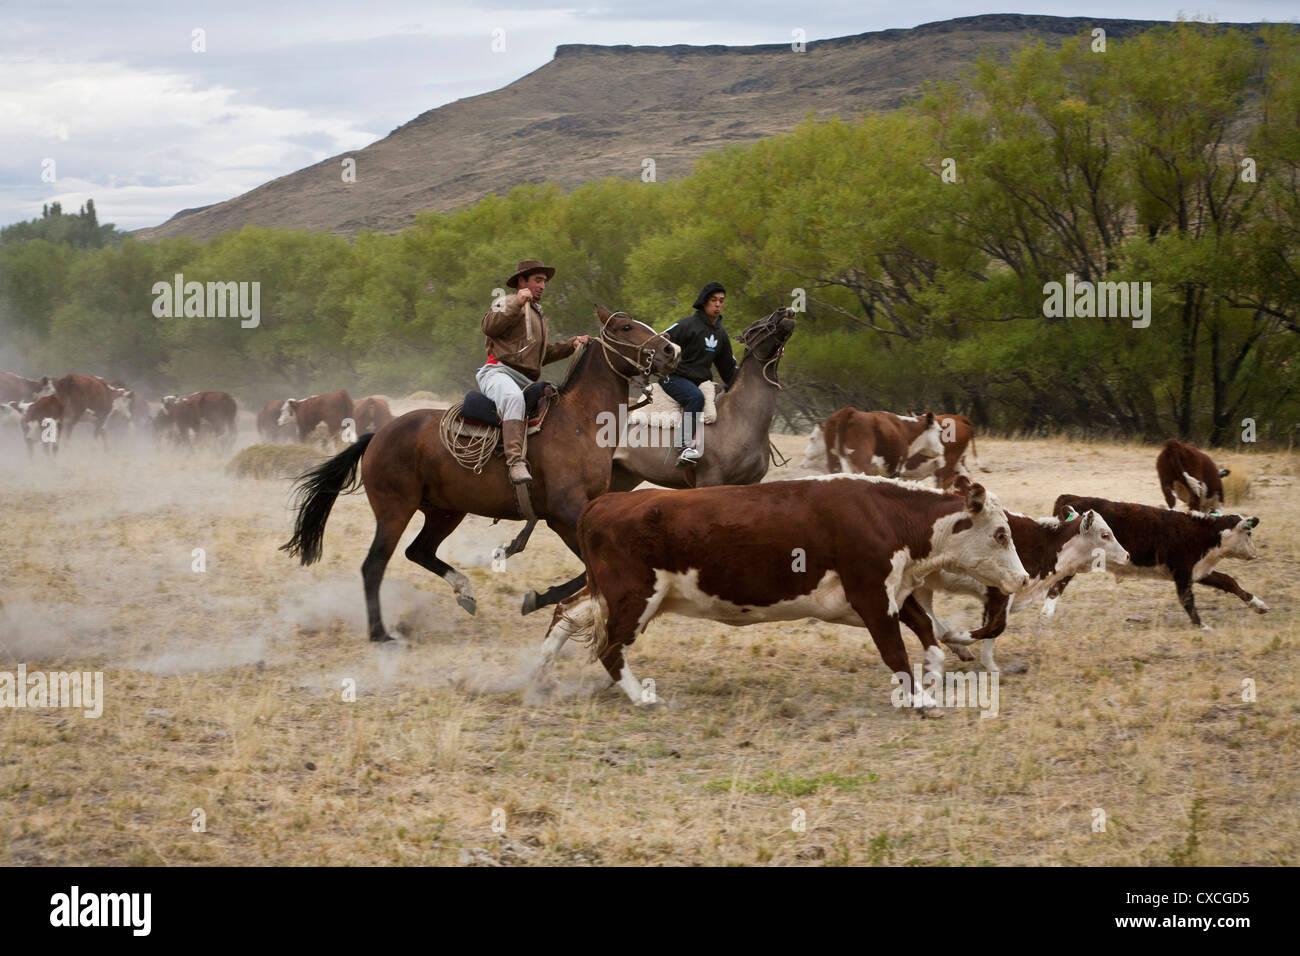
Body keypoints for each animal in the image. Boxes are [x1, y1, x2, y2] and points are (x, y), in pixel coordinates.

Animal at [283, 306, 681, 642]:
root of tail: (377, 435)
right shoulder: (564, 513)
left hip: (445, 512)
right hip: (394, 511)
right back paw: (381, 633)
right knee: (374, 565)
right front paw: (537, 599)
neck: (579, 421)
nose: (671, 349)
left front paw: (537, 598)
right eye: (626, 327)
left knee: (419, 551)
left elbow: (590, 571)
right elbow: (589, 570)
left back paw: (464, 592)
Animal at [535, 476, 1024, 707]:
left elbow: (929, 634)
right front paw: (919, 699)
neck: (887, 516)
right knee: (609, 647)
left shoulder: (893, 593)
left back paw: (539, 677)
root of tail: (605, 502)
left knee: (566, 614)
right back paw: (643, 698)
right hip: (634, 596)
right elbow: (896, 652)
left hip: (612, 593)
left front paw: (932, 678)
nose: (1020, 579)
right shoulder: (870, 595)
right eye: (1001, 533)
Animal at [1045, 496, 1268, 632]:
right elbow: (1187, 599)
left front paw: (1258, 605)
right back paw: (1046, 615)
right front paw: (1201, 626)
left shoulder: (1198, 570)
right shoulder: (1182, 572)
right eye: (1249, 533)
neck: (1204, 532)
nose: (1255, 554)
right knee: (1055, 587)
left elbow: (1228, 581)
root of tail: (1070, 499)